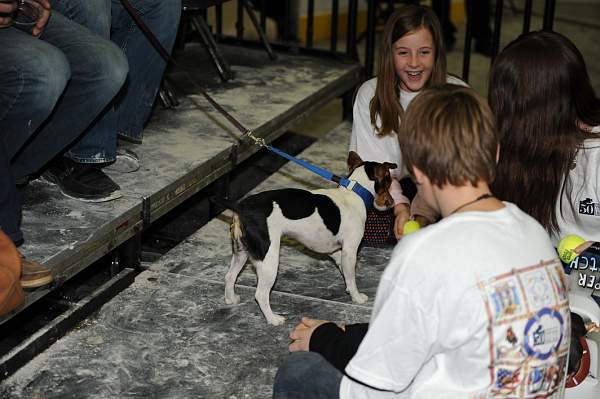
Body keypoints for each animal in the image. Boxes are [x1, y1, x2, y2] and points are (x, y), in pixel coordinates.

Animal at [223, 152, 396, 326]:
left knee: (230, 276)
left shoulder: (333, 250)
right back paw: (273, 319)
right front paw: (357, 297)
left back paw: (231, 299)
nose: (392, 203)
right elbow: (351, 277)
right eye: (388, 181)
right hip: (268, 260)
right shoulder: (350, 250)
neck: (354, 192)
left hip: (241, 252)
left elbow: (345, 271)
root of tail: (241, 208)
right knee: (260, 294)